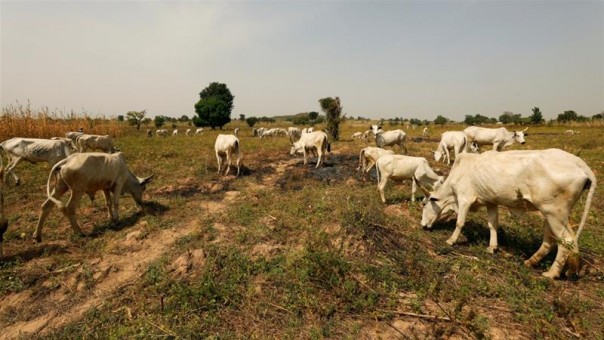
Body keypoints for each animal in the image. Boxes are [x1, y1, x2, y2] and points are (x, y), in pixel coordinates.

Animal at [422, 149, 596, 278]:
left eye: (424, 204)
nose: (423, 225)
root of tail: (579, 163)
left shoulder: (465, 199)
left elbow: (460, 222)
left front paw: (451, 240)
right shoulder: (491, 202)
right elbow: (493, 225)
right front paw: (492, 247)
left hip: (553, 213)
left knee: (566, 241)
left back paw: (551, 273)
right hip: (554, 214)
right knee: (555, 240)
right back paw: (535, 263)